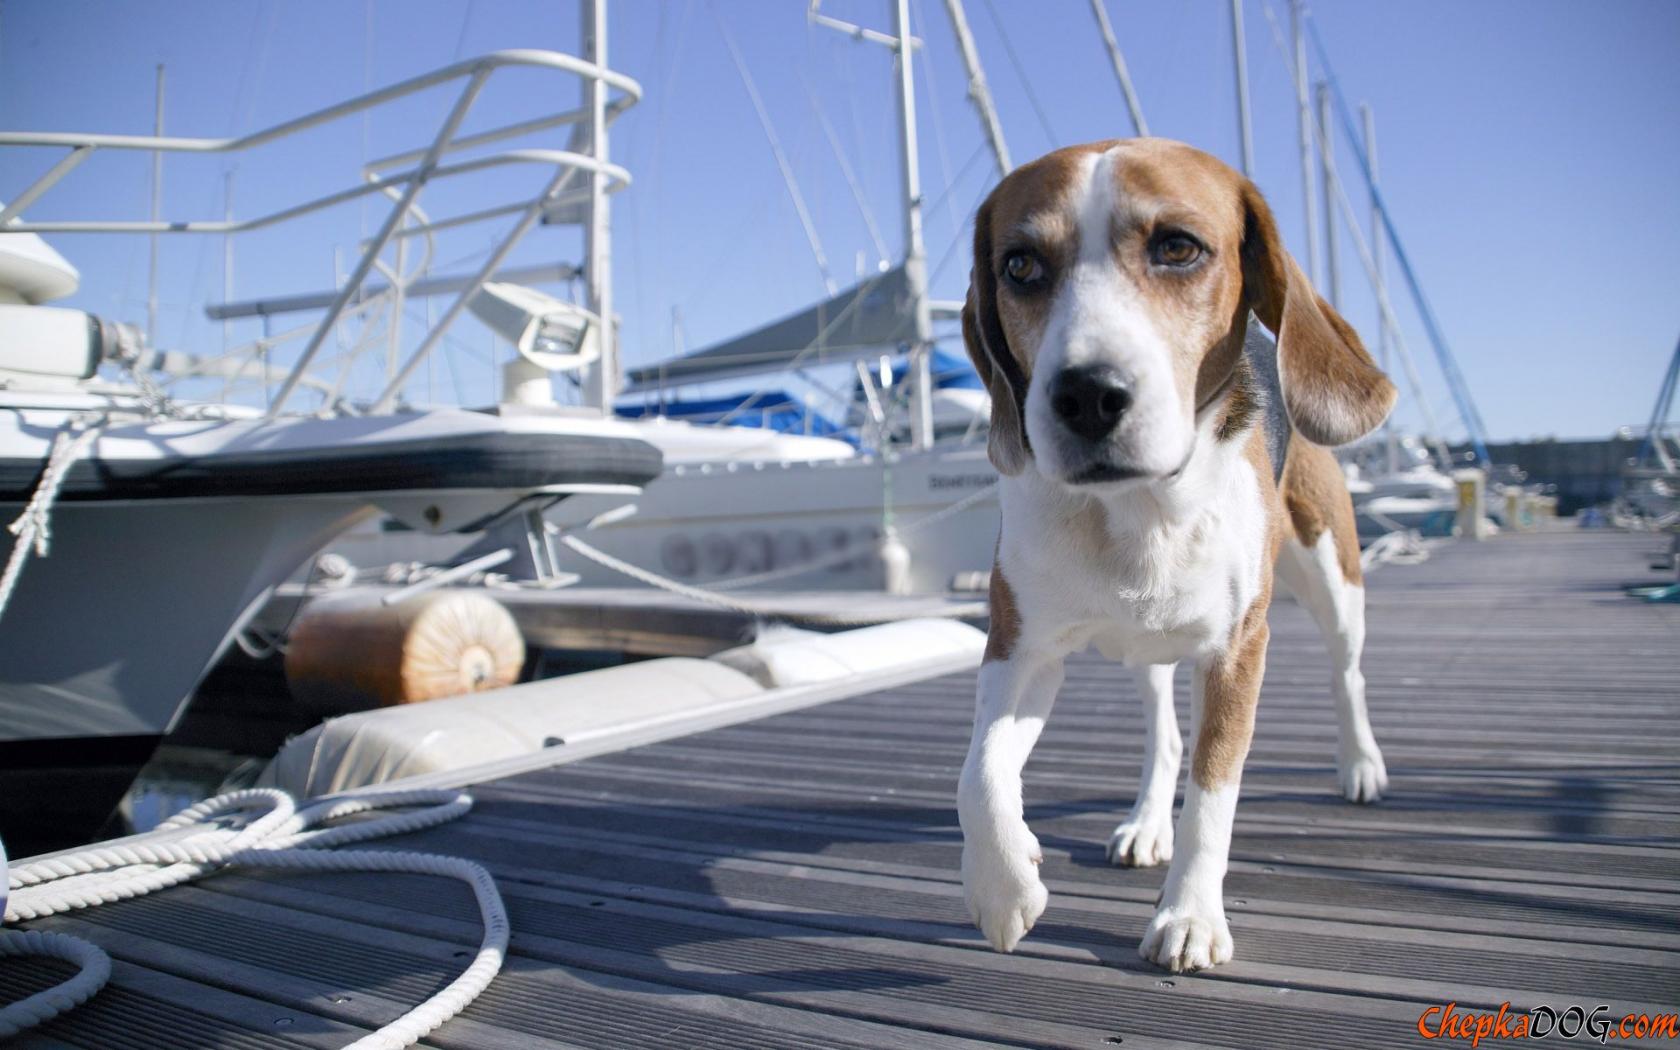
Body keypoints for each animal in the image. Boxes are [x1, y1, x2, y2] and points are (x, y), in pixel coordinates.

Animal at [956, 138, 1396, 973]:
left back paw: (1359, 764)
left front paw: (1189, 915)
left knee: (1349, 673)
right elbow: (979, 773)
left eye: (1179, 248)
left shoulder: (1237, 650)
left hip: (1336, 581)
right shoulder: (1020, 648)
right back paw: (1146, 823)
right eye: (1020, 265)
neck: (1137, 511)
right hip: (1144, 649)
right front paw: (1004, 887)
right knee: (1162, 737)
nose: (1086, 396)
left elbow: (1214, 792)